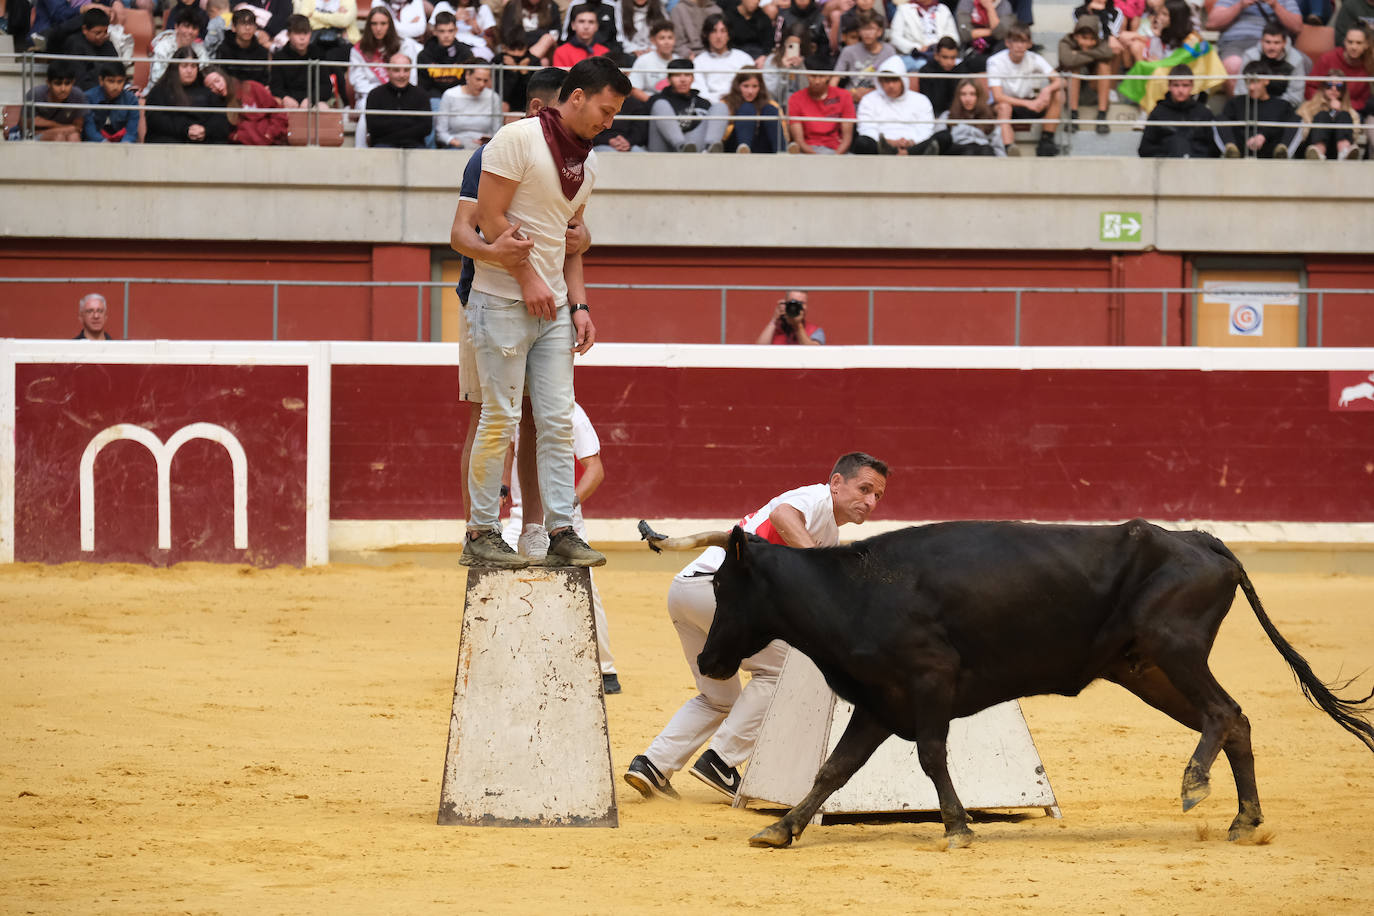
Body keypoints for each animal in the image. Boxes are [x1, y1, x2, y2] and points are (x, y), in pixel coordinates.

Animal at [659, 519, 1368, 851]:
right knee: (1237, 719)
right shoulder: (881, 701)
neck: (852, 589)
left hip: (1176, 650)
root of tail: (1200, 539)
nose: (713, 659)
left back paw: (1196, 785)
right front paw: (782, 829)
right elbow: (835, 768)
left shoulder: (929, 681)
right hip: (1150, 671)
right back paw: (1245, 820)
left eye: (725, 587)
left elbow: (931, 755)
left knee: (1222, 714)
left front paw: (958, 828)